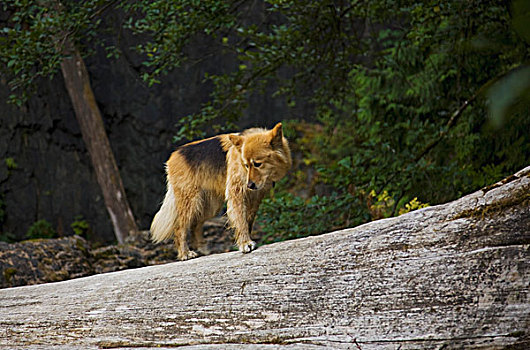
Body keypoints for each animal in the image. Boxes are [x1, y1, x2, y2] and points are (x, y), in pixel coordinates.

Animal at [148, 122, 290, 260]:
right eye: (246, 165)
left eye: (257, 164)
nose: (249, 185)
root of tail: (173, 155)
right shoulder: (236, 193)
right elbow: (241, 220)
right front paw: (245, 243)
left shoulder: (255, 198)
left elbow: (247, 221)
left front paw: (245, 240)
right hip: (190, 201)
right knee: (179, 228)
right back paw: (185, 253)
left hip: (210, 206)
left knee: (195, 224)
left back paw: (202, 249)